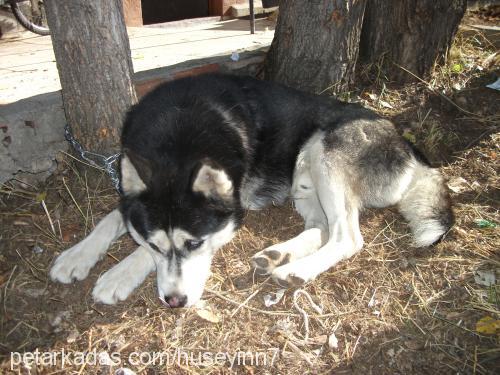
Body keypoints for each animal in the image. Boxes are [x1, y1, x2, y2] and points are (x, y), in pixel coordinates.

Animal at [50, 73, 454, 308]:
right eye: (154, 243)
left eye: (195, 243)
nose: (175, 301)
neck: (177, 136)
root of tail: (405, 142)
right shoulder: (137, 196)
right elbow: (112, 219)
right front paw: (77, 255)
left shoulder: (230, 209)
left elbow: (138, 252)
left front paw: (118, 274)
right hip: (303, 179)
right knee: (322, 228)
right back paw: (278, 255)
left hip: (325, 151)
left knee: (347, 236)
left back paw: (298, 269)